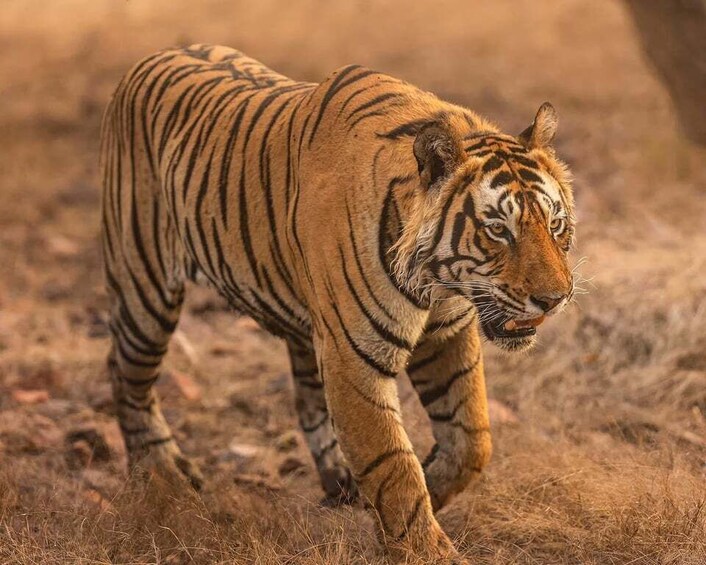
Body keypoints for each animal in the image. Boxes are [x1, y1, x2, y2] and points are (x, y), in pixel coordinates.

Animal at [100, 43, 575, 562]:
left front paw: (425, 489)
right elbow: (393, 464)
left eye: (555, 224)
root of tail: (156, 54)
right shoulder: (355, 357)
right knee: (125, 373)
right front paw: (424, 546)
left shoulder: (446, 335)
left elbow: (472, 440)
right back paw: (161, 474)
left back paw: (340, 484)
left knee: (308, 400)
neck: (436, 283)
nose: (555, 299)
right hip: (145, 287)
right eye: (498, 230)